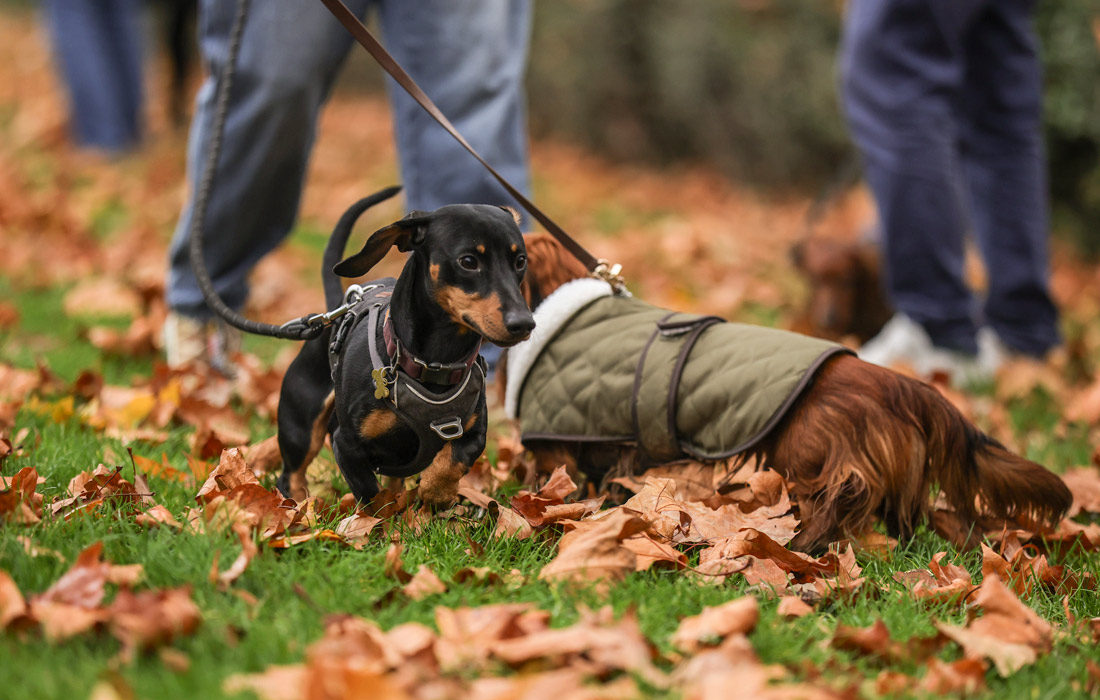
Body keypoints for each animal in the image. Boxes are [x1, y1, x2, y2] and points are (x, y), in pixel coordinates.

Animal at [510, 232, 1069, 550]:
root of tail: (895, 381)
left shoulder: (557, 444)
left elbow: (555, 483)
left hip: (807, 455)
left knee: (837, 500)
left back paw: (801, 546)